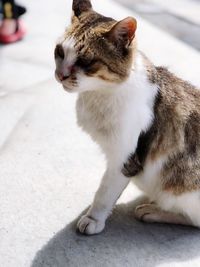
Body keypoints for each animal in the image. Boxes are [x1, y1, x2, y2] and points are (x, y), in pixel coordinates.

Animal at [54, 0, 200, 234]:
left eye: (86, 61)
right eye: (59, 51)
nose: (61, 75)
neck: (100, 94)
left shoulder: (124, 157)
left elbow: (104, 193)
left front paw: (93, 218)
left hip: (182, 189)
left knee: (193, 220)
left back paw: (154, 211)